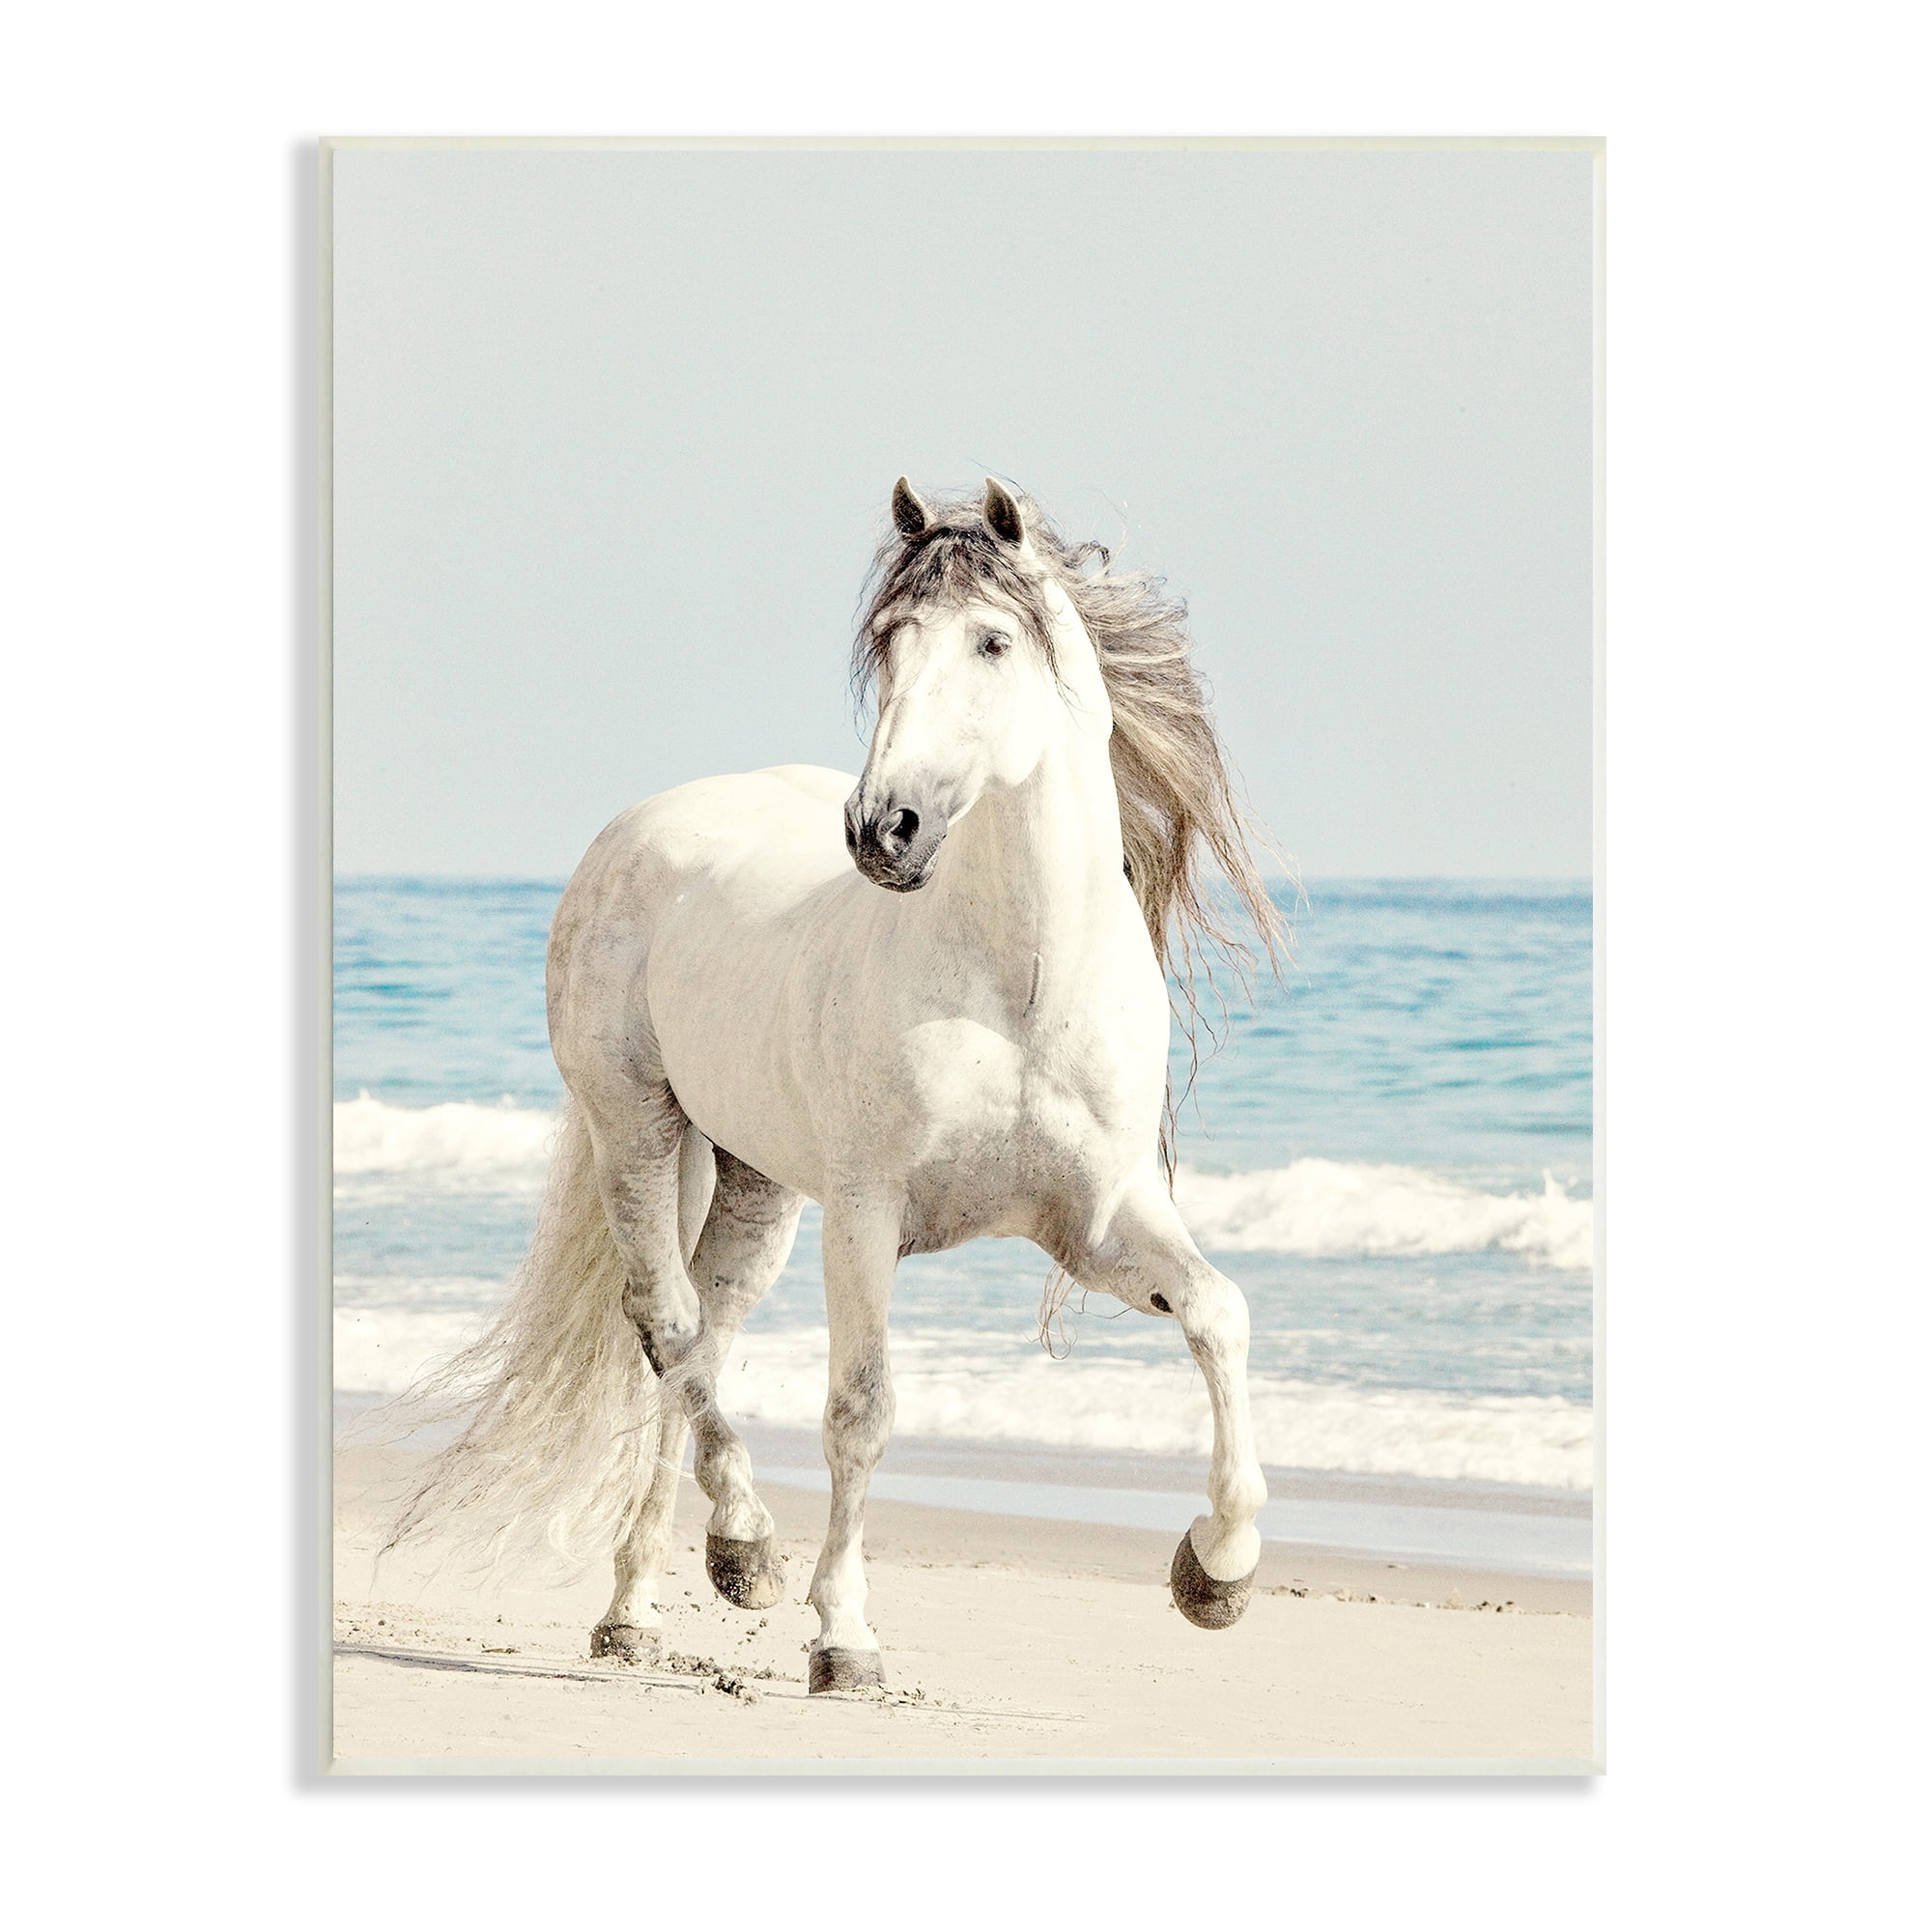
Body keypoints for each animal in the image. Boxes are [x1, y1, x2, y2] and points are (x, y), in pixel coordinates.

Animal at [387, 478, 1287, 1694]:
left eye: (992, 640)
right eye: (890, 639)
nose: (881, 829)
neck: (1016, 985)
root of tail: (637, 827)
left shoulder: (1093, 1219)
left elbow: (1215, 1312)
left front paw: (1217, 1572)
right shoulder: (867, 1215)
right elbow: (861, 1409)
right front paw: (843, 1639)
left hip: (756, 1181)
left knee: (702, 1337)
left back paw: (644, 1605)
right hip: (639, 1128)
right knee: (668, 1324)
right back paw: (741, 1553)